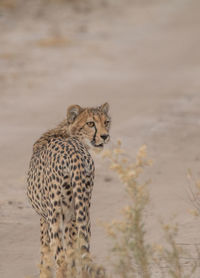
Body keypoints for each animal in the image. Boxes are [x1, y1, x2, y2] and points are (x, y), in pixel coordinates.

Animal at [26, 103, 111, 276]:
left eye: (106, 122)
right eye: (90, 123)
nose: (105, 136)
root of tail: (74, 153)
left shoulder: (45, 218)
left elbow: (45, 255)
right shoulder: (71, 219)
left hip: (55, 217)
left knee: (62, 260)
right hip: (82, 212)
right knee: (82, 257)